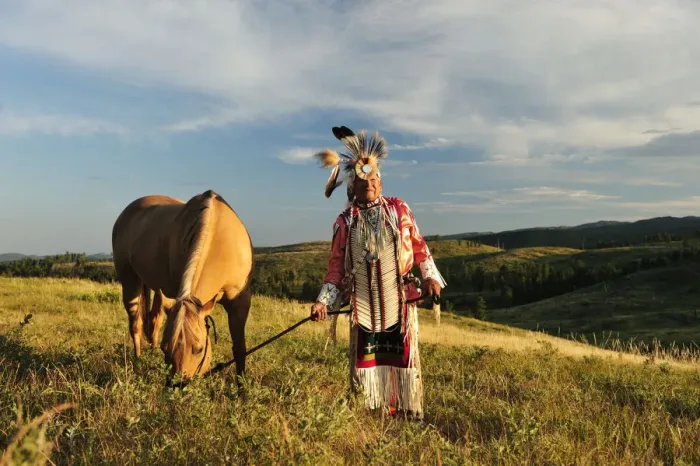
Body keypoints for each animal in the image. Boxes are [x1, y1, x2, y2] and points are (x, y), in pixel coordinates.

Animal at [111, 189, 254, 384]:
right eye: (166, 348)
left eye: (199, 349)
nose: (178, 385)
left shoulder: (240, 303)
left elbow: (240, 349)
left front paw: (241, 387)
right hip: (130, 281)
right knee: (136, 325)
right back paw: (138, 363)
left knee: (154, 321)